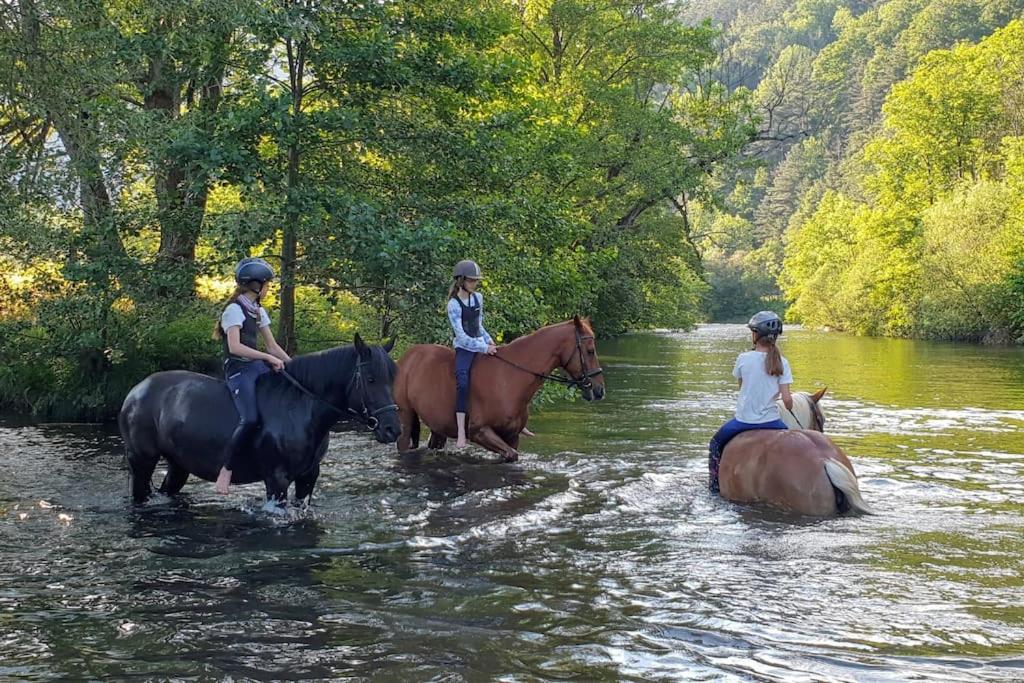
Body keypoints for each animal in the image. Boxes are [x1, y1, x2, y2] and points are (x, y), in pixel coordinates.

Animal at [118, 335, 399, 507]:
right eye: (371, 379)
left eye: (392, 378)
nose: (392, 429)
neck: (299, 408)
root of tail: (135, 391)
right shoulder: (277, 479)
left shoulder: (308, 476)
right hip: (142, 460)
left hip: (179, 464)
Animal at [393, 317, 602, 462]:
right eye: (590, 351)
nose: (599, 390)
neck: (509, 378)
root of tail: (406, 357)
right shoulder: (480, 432)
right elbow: (511, 455)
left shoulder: (512, 436)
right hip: (405, 416)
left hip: (437, 426)